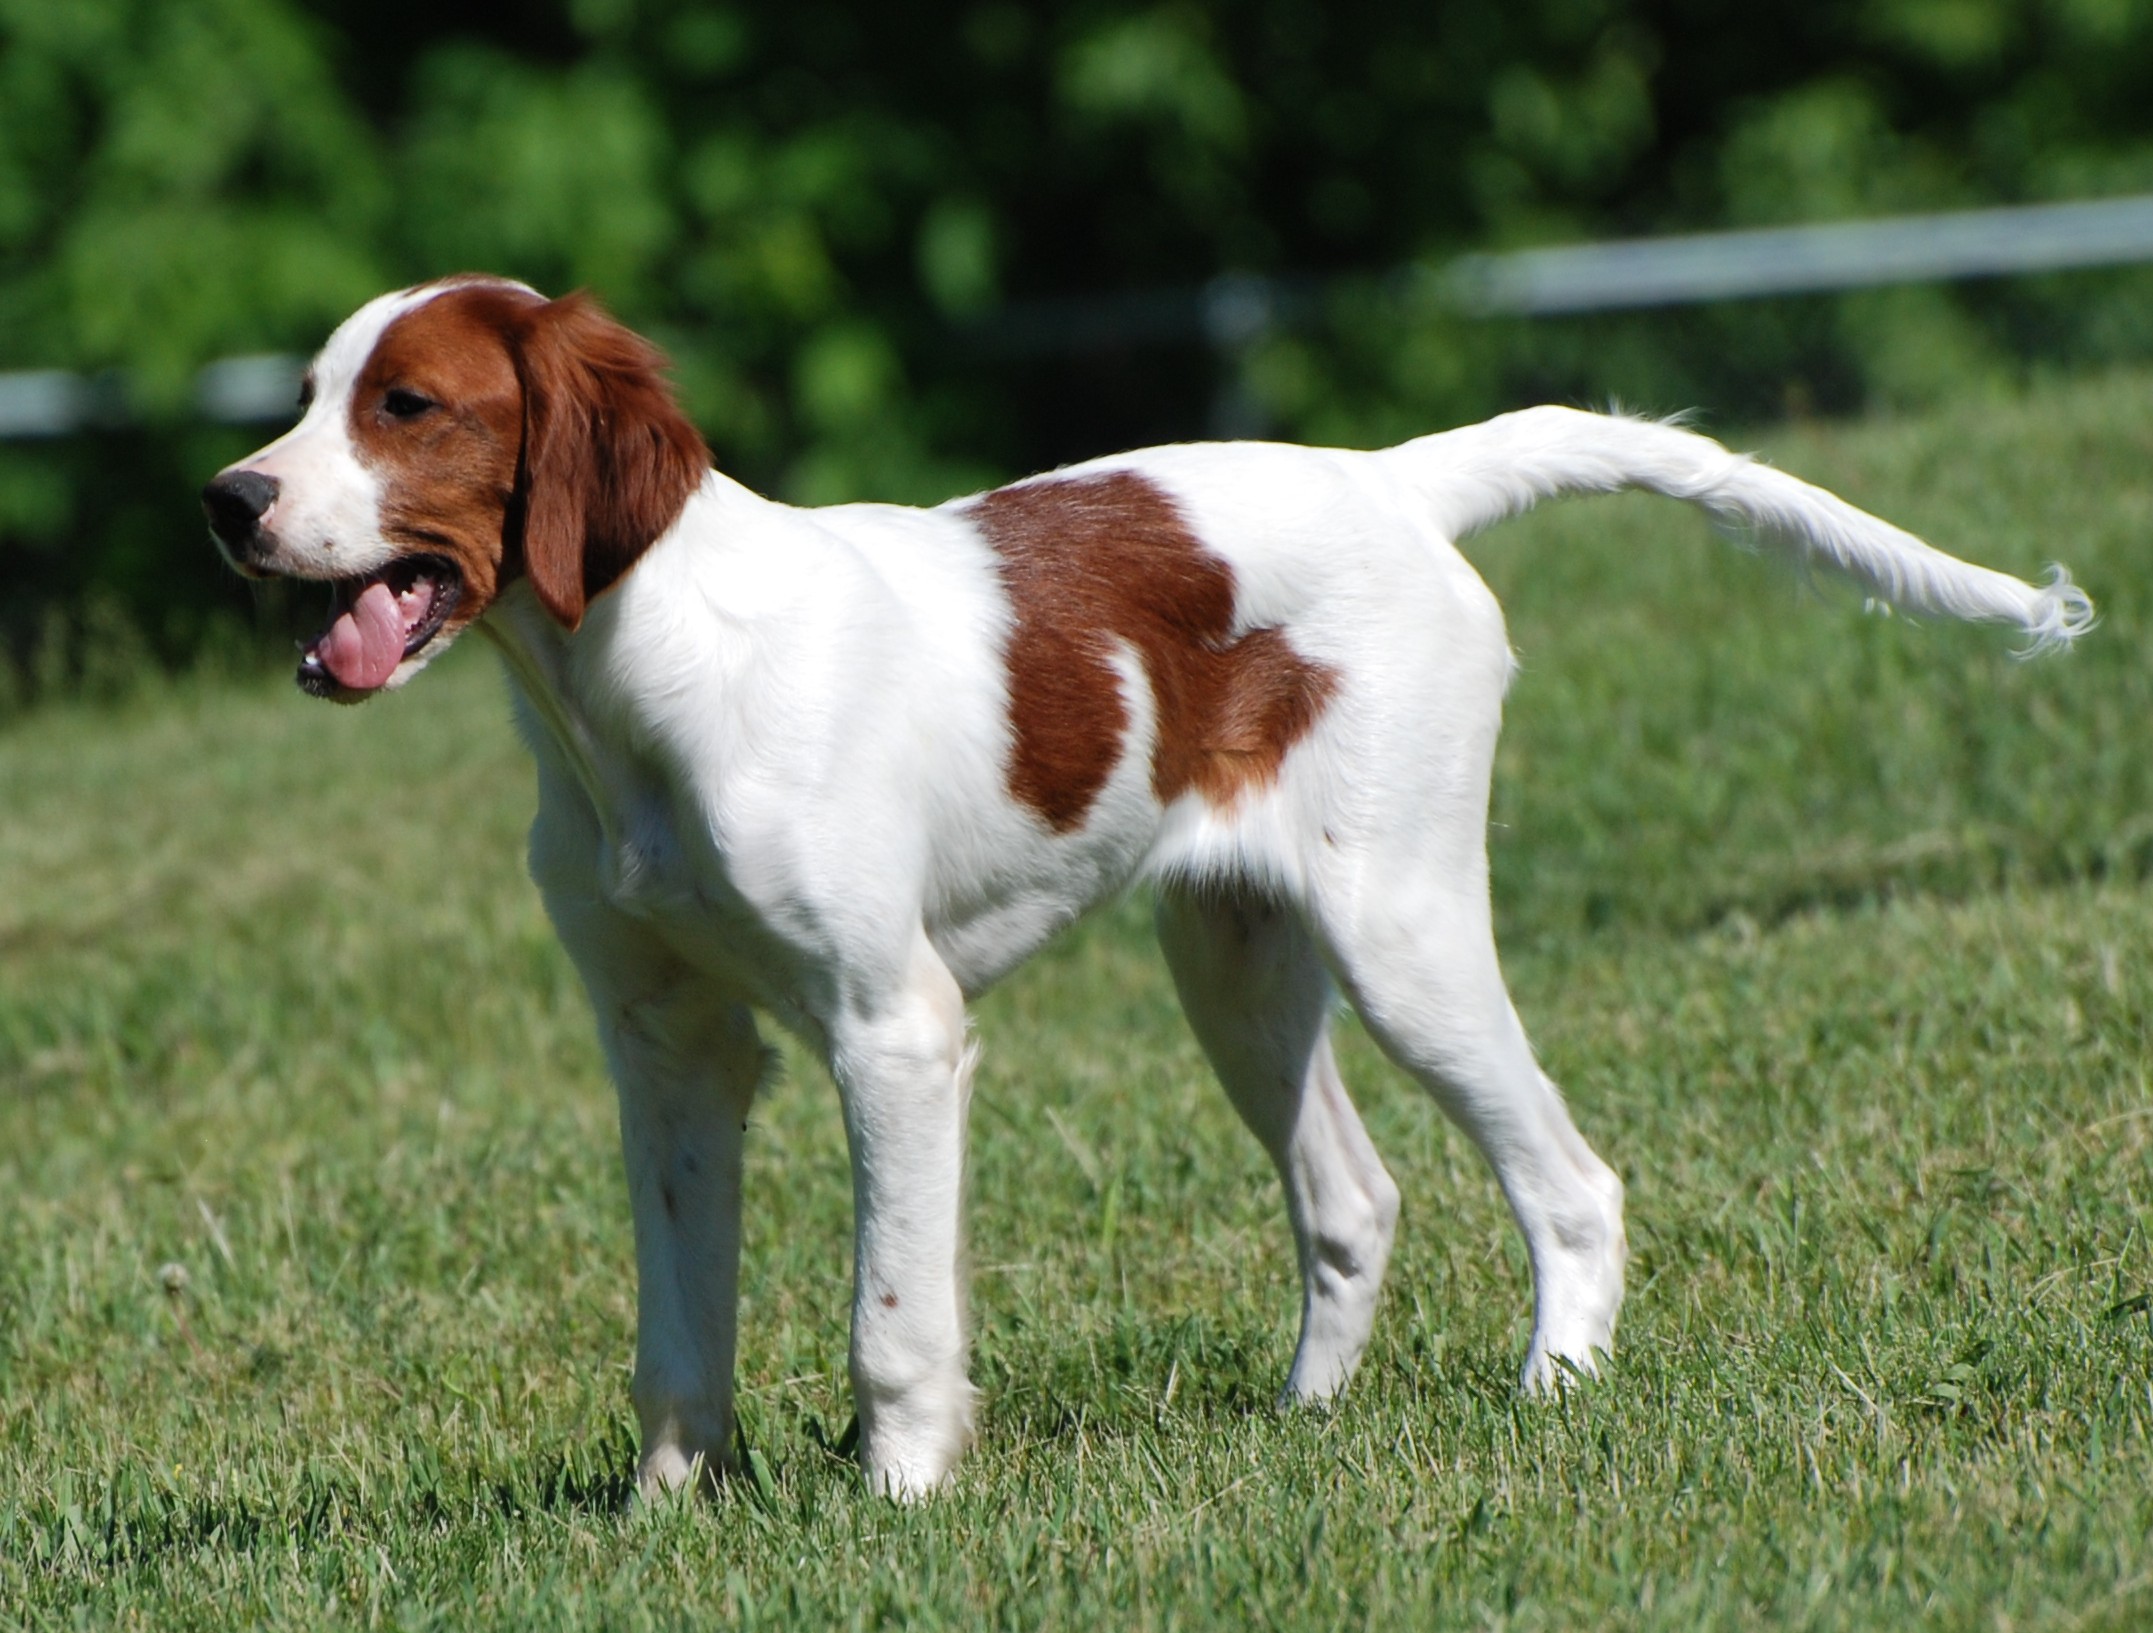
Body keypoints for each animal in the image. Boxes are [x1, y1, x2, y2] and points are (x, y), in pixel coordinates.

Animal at [198, 277, 2084, 1499]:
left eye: (407, 406)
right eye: (300, 397)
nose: (227, 499)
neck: (632, 688)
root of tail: (1391, 480)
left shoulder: (892, 1029)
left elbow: (891, 1313)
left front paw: (900, 1499)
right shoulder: (665, 1048)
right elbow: (678, 1326)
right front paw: (669, 1521)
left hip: (1399, 927)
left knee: (1570, 1180)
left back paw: (1551, 1394)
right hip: (1237, 955)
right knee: (1352, 1197)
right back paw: (1302, 1427)